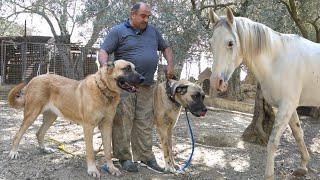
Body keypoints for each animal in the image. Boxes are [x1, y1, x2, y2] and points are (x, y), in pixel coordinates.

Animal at [6, 59, 144, 178]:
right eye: (126, 68)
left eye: (135, 68)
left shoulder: (107, 125)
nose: (143, 79)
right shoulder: (88, 127)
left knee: (39, 133)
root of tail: (34, 78)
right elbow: (90, 152)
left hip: (51, 117)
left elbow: (108, 151)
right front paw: (92, 170)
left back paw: (44, 149)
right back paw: (13, 152)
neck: (104, 91)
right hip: (32, 114)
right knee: (18, 134)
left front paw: (111, 168)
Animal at [209, 7, 318, 180]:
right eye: (211, 43)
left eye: (230, 43)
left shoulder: (286, 106)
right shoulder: (287, 107)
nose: (215, 82)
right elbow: (298, 133)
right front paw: (302, 166)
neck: (278, 60)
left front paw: (269, 174)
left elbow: (272, 142)